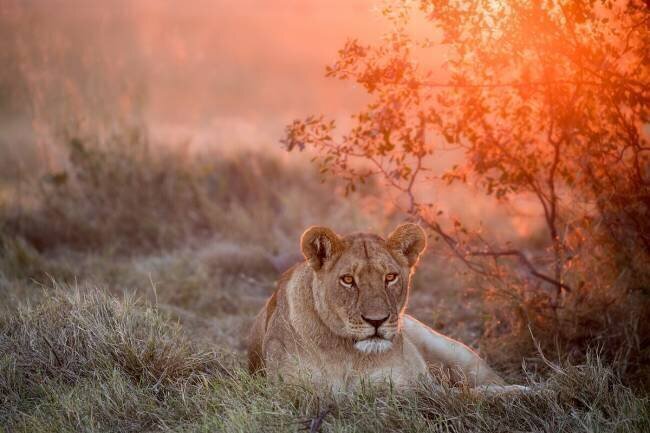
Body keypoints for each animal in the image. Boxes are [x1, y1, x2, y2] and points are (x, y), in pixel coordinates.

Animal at [248, 223, 509, 391]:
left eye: (390, 277)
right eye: (348, 280)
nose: (376, 321)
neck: (349, 354)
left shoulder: (412, 387)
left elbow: (467, 396)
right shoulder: (292, 393)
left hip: (454, 352)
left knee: (491, 383)